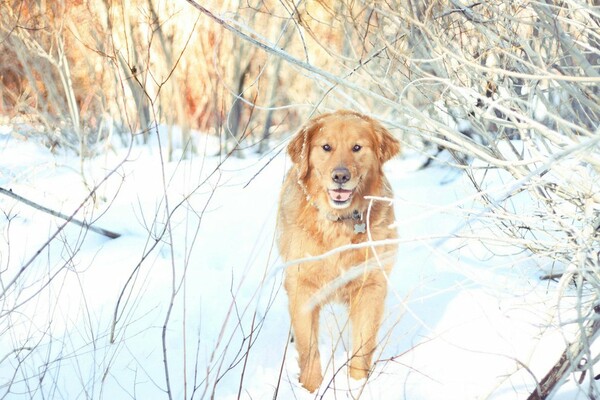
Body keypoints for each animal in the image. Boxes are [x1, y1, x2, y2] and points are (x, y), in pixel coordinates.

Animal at [278, 109, 400, 390]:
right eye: (326, 147)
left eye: (357, 147)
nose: (340, 176)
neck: (339, 222)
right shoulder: (302, 287)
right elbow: (309, 349)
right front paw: (311, 388)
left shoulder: (370, 286)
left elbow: (363, 346)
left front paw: (357, 386)